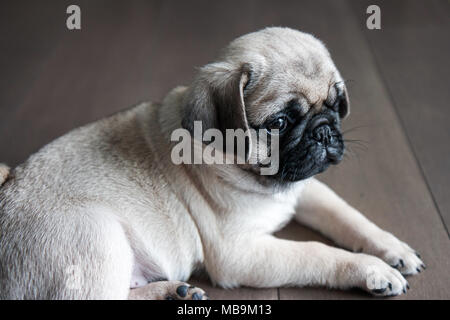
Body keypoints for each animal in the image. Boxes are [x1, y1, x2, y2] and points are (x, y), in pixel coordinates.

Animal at [0, 28, 426, 300]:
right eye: (280, 123)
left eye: (337, 106)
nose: (324, 131)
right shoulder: (241, 255)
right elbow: (317, 253)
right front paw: (371, 270)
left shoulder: (306, 188)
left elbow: (347, 216)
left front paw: (392, 248)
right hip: (97, 239)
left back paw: (175, 292)